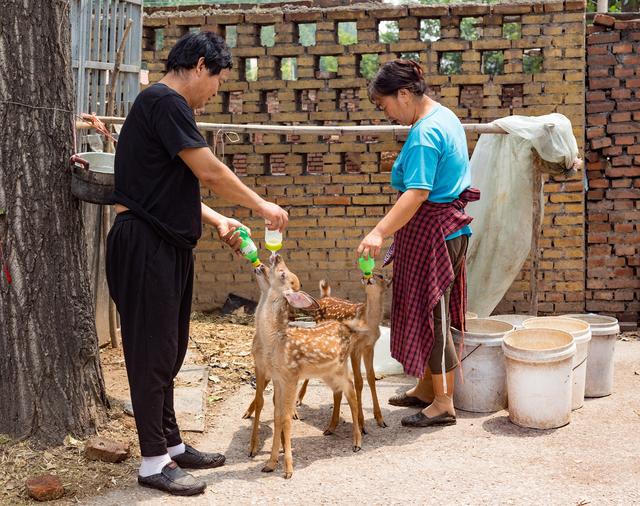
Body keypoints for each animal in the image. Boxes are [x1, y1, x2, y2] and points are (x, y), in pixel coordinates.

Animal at [254, 255, 364, 480]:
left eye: (283, 273)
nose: (276, 256)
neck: (276, 341)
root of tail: (346, 328)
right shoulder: (278, 378)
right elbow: (277, 417)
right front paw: (270, 464)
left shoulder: (291, 375)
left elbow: (287, 418)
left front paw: (288, 469)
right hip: (327, 372)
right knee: (341, 391)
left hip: (341, 367)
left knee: (352, 392)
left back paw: (357, 442)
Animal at [296, 274, 390, 432]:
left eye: (381, 275)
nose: (366, 276)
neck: (368, 323)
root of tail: (324, 297)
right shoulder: (355, 348)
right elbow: (359, 381)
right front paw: (362, 424)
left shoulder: (369, 346)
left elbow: (371, 378)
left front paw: (380, 419)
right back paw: (298, 399)